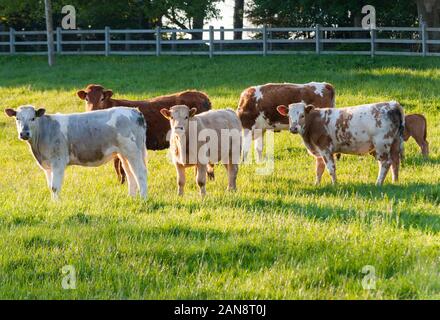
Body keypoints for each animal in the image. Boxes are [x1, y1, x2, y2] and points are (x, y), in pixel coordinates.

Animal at [4, 106, 148, 199]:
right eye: (17, 118)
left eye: (33, 118)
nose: (24, 133)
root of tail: (134, 111)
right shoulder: (47, 166)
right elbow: (50, 186)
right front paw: (52, 203)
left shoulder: (58, 162)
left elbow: (55, 187)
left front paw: (57, 205)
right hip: (124, 154)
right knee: (130, 174)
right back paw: (131, 197)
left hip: (132, 151)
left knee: (140, 173)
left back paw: (143, 199)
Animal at [76, 84, 212, 184]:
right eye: (87, 99)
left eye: (102, 98)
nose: (92, 110)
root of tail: (203, 95)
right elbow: (118, 165)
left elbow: (119, 166)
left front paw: (122, 182)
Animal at [278, 100, 406, 185]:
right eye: (289, 116)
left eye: (302, 115)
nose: (293, 128)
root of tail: (393, 104)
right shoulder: (319, 151)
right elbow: (319, 169)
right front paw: (317, 184)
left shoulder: (325, 149)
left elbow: (330, 168)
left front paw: (335, 184)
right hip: (395, 142)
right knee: (395, 162)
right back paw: (395, 181)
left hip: (381, 144)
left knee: (385, 163)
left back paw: (378, 183)